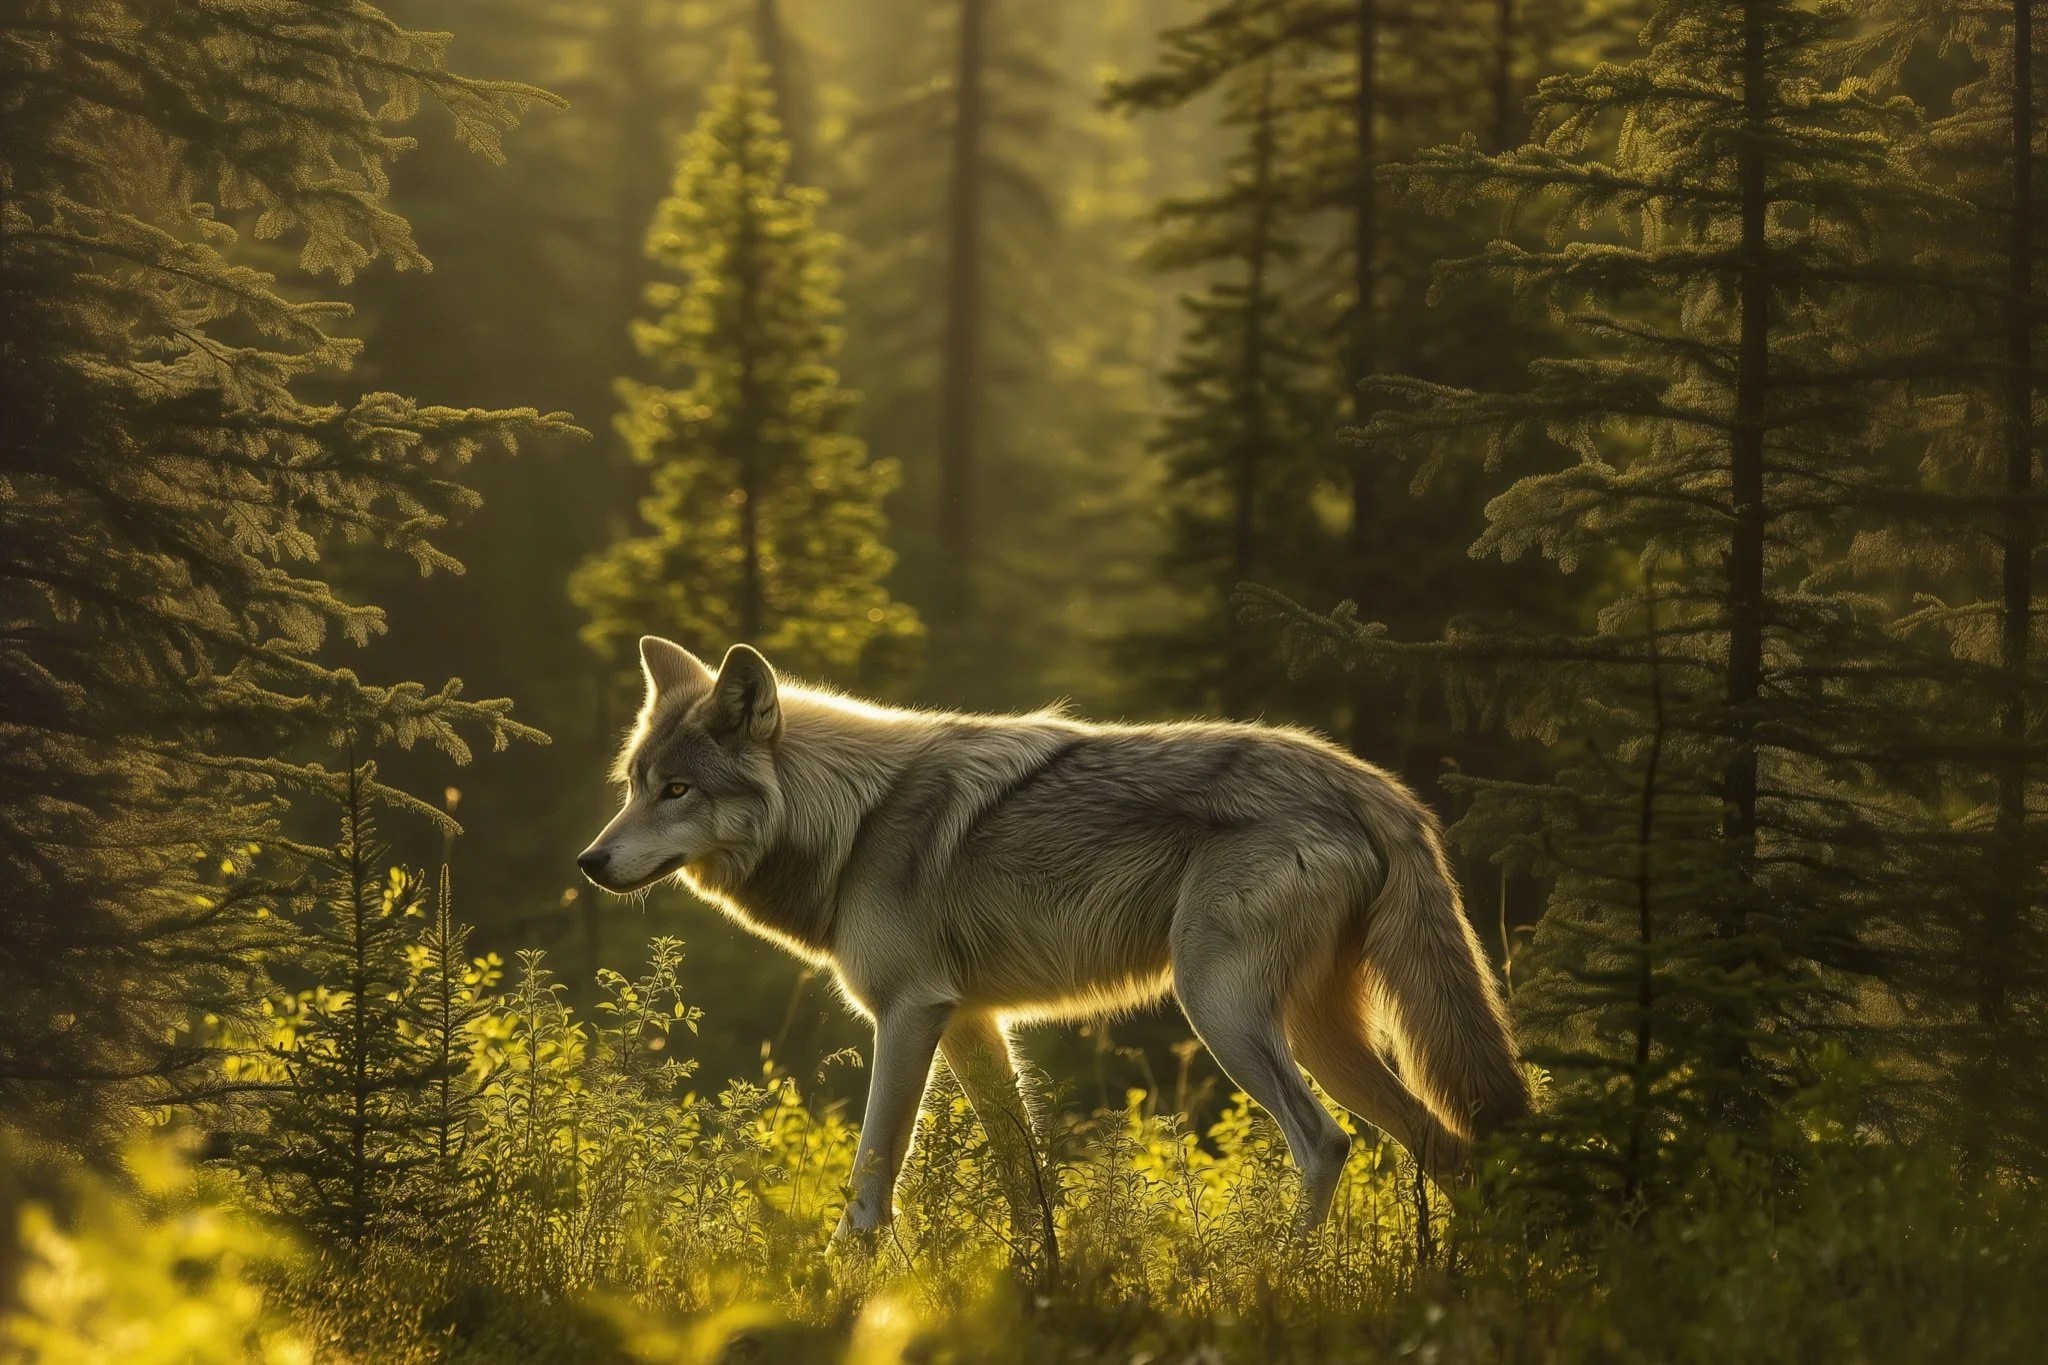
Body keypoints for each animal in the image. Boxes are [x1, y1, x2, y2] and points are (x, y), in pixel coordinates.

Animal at [579, 636, 1529, 1236]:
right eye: (630, 784)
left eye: (676, 790)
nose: (590, 860)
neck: (852, 823)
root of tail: (1378, 786)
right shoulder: (971, 1021)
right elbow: (1024, 1180)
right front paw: (1043, 1283)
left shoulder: (909, 1013)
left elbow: (871, 1178)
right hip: (1320, 1034)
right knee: (1450, 1147)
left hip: (1222, 1010)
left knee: (1328, 1142)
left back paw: (1278, 1273)